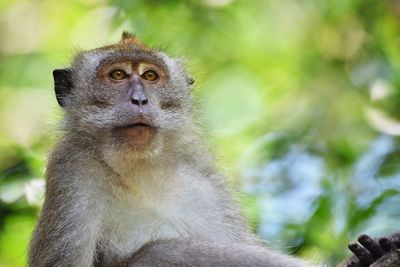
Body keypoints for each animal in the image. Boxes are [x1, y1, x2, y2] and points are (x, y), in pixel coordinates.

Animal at [28, 33, 316, 267]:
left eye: (150, 76)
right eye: (118, 75)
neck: (137, 169)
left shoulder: (203, 181)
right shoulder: (71, 170)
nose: (140, 99)